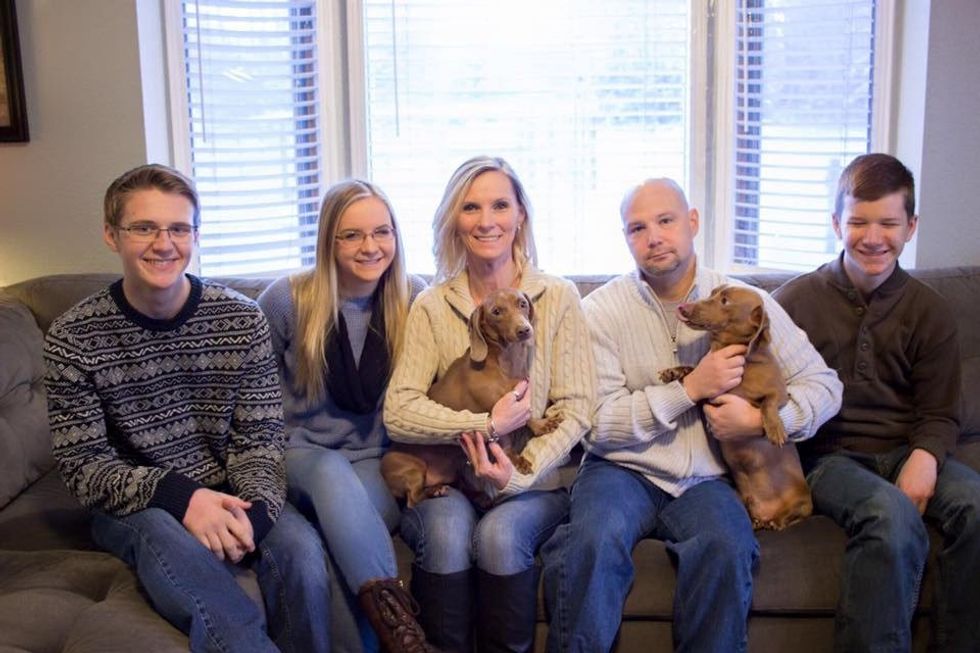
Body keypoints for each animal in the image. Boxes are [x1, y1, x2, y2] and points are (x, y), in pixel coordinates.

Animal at [382, 288, 562, 508]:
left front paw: (541, 425)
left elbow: (528, 416)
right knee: (413, 499)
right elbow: (506, 439)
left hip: (455, 464)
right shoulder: (498, 413)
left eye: (522, 304)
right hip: (413, 469)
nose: (524, 330)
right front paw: (516, 459)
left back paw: (475, 496)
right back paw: (436, 491)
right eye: (496, 312)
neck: (504, 362)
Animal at [659, 285, 812, 530]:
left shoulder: (780, 393)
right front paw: (673, 372)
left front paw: (775, 429)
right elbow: (692, 371)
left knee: (791, 517)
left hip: (804, 505)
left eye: (725, 301)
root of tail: (765, 514)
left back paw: (777, 522)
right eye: (712, 293)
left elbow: (768, 403)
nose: (683, 307)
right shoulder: (709, 395)